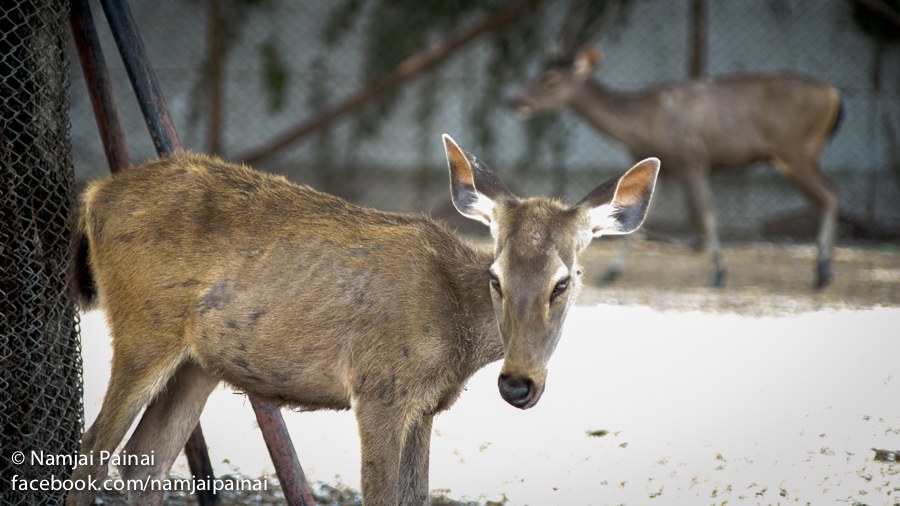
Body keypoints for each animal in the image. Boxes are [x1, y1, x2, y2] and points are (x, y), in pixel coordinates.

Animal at [68, 135, 660, 506]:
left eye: (565, 281)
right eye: (496, 276)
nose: (518, 384)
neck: (454, 343)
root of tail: (93, 194)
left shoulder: (424, 406)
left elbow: (415, 496)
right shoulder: (380, 386)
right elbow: (380, 495)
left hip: (198, 364)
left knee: (143, 459)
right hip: (143, 326)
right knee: (93, 451)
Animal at [512, 46, 844, 290]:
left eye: (550, 79)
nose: (517, 99)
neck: (641, 125)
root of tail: (834, 95)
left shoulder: (691, 158)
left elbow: (706, 214)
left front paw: (720, 273)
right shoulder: (666, 166)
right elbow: (635, 224)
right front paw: (612, 272)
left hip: (796, 148)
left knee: (829, 194)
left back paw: (821, 273)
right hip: (796, 156)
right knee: (826, 194)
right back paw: (824, 270)